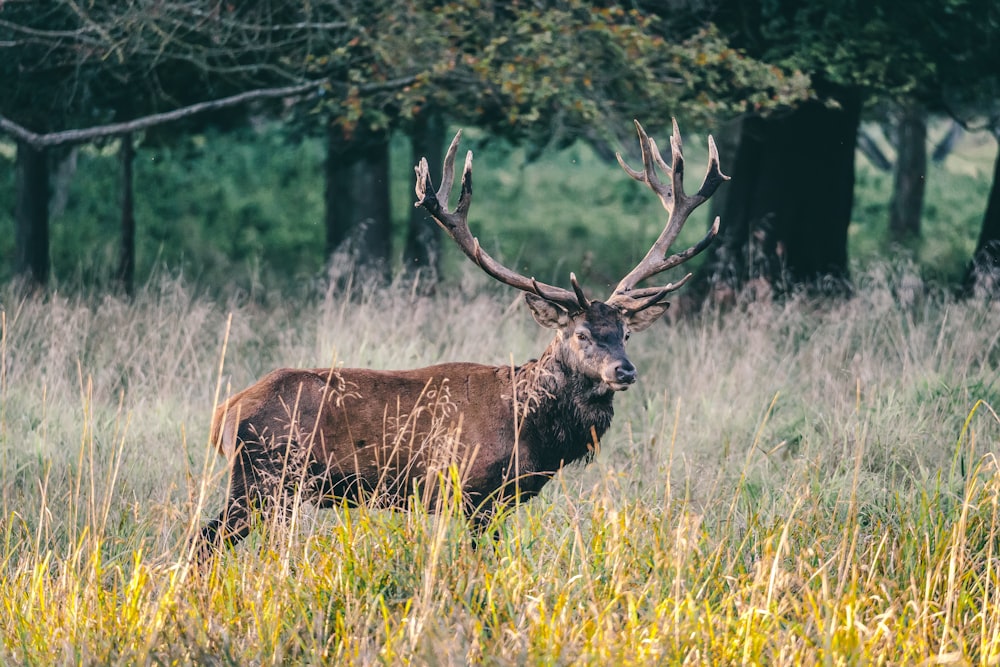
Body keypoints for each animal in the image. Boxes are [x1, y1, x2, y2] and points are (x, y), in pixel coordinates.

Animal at [195, 120, 728, 560]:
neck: (531, 430)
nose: (624, 370)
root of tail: (224, 413)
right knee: (205, 539)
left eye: (624, 333)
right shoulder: (469, 491)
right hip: (264, 479)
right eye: (580, 334)